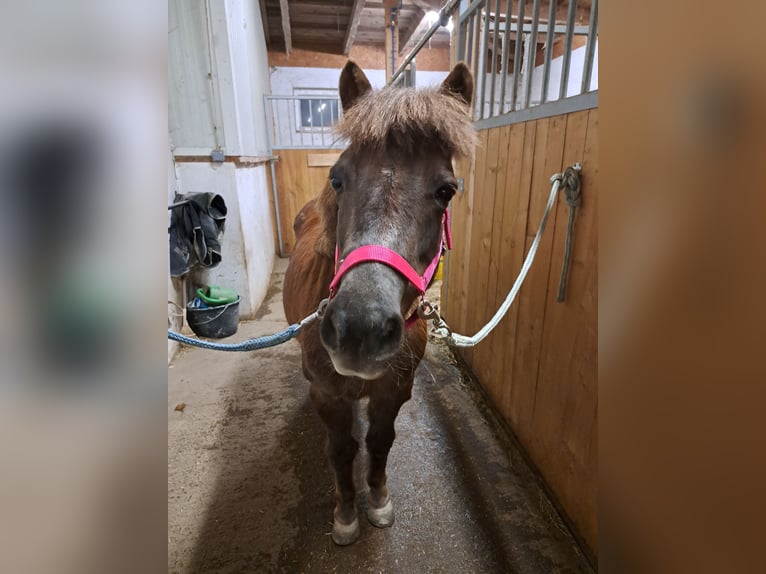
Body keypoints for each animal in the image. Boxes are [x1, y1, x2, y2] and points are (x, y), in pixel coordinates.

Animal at [284, 60, 474, 548]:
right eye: (337, 178)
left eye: (446, 191)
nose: (360, 329)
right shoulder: (326, 394)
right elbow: (341, 449)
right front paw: (346, 514)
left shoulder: (395, 390)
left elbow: (379, 442)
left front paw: (379, 502)